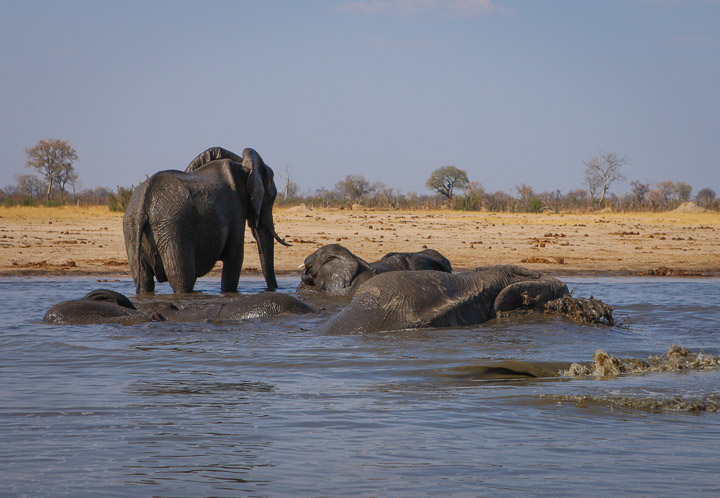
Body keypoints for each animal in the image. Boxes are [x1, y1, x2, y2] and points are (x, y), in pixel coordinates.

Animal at [123, 147, 290, 294]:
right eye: (272, 197)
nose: (274, 289)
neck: (242, 165)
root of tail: (145, 201)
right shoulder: (235, 207)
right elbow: (235, 258)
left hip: (132, 228)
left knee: (143, 279)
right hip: (173, 227)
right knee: (182, 278)